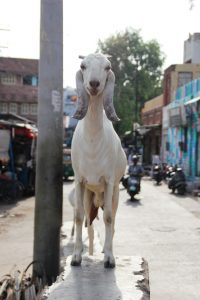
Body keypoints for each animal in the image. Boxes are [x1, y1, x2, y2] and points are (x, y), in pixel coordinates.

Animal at [71, 52, 126, 268]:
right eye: (83, 66)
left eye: (107, 67)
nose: (94, 84)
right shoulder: (79, 180)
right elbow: (79, 217)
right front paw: (76, 257)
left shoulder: (110, 182)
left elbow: (109, 218)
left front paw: (109, 258)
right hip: (89, 197)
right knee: (90, 224)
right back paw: (91, 253)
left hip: (114, 195)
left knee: (112, 220)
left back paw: (104, 251)